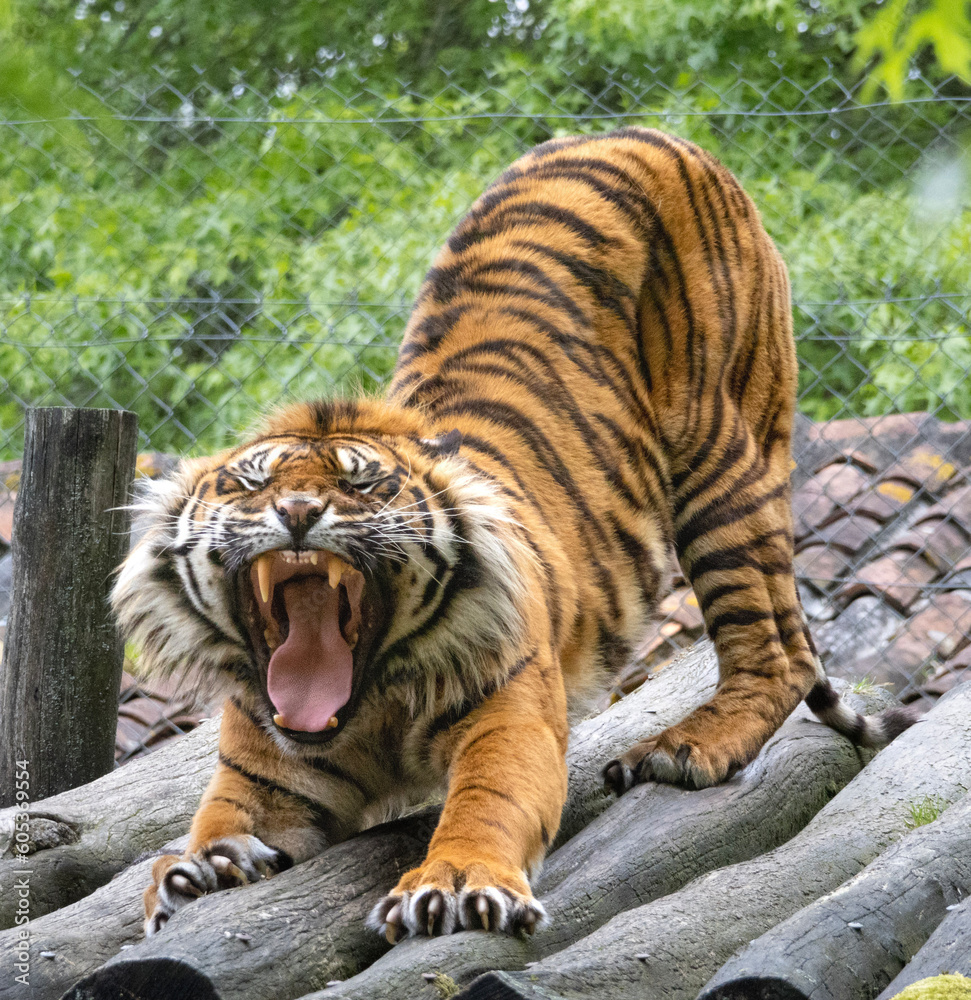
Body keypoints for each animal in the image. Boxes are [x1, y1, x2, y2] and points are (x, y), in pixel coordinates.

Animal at [112, 126, 915, 942]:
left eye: (361, 484)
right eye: (252, 483)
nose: (299, 510)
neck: (368, 705)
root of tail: (647, 134)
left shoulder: (509, 715)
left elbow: (486, 804)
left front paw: (455, 884)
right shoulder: (265, 777)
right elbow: (218, 824)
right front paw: (192, 873)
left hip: (718, 457)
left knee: (775, 649)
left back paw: (682, 750)